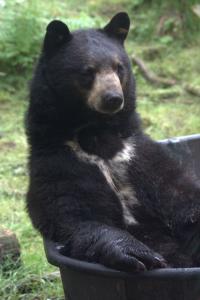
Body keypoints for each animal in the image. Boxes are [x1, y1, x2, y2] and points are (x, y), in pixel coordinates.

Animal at [25, 11, 200, 270]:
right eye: (88, 71)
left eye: (119, 68)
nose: (113, 98)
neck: (98, 138)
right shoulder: (59, 163)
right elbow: (76, 213)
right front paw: (137, 253)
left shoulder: (140, 155)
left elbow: (182, 199)